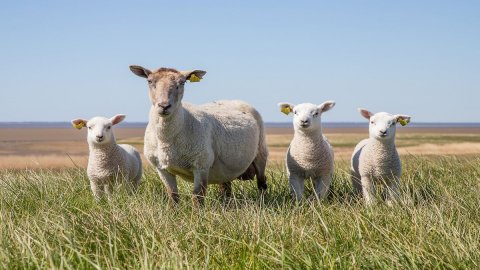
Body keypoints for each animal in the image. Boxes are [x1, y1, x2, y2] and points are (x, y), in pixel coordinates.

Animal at [129, 65, 268, 205]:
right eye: (149, 81)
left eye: (182, 82)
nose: (164, 106)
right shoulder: (161, 168)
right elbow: (173, 196)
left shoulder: (201, 165)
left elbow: (197, 196)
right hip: (224, 169)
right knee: (226, 188)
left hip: (261, 153)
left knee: (262, 183)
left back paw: (263, 202)